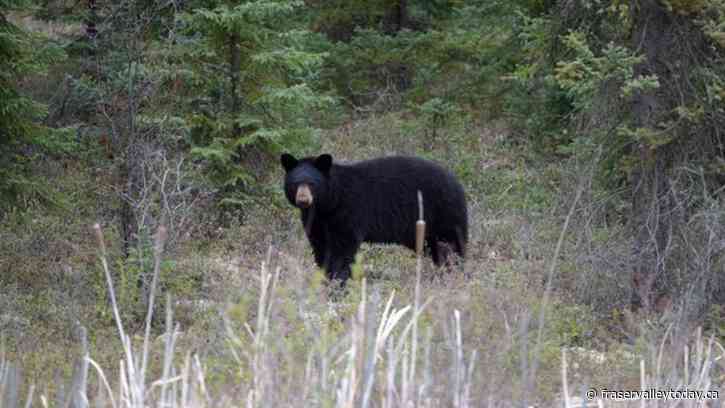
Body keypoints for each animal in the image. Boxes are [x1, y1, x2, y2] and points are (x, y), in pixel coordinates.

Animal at [280, 155, 466, 286]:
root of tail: (457, 182)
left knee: (452, 245)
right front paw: (325, 277)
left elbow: (342, 248)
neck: (329, 203)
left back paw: (457, 272)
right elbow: (320, 246)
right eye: (295, 183)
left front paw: (338, 281)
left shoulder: (348, 212)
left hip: (443, 212)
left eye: (312, 183)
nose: (303, 200)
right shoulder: (317, 221)